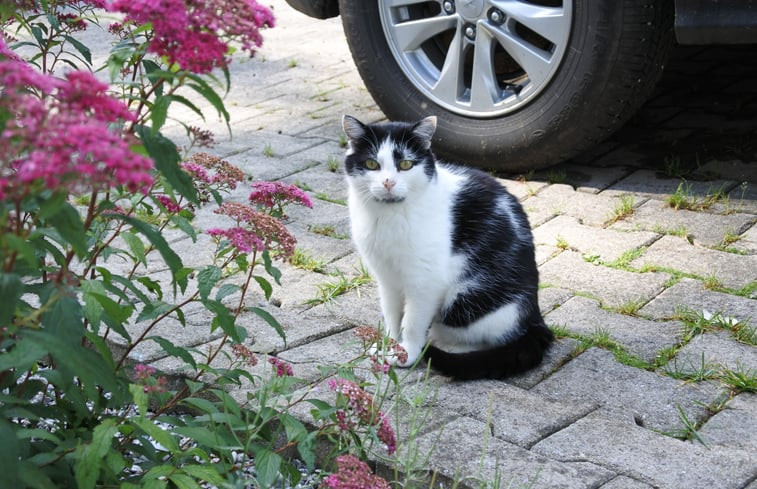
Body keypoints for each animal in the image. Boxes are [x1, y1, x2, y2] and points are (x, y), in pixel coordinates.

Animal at [342, 115, 548, 382]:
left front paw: (407, 353)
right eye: (371, 164)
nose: (388, 182)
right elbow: (392, 315)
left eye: (406, 165)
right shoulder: (386, 278)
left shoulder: (426, 282)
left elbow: (412, 321)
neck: (389, 217)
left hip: (466, 302)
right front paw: (390, 345)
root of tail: (534, 317)